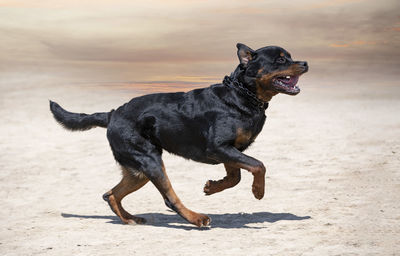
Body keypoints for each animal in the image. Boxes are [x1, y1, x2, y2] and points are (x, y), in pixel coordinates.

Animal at [49, 43, 306, 227]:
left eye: (290, 56)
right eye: (280, 59)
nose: (304, 62)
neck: (243, 94)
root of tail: (112, 114)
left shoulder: (230, 150)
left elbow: (236, 176)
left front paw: (212, 187)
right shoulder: (218, 147)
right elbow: (258, 165)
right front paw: (258, 191)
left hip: (137, 170)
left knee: (110, 194)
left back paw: (129, 218)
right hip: (150, 161)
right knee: (168, 197)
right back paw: (196, 218)